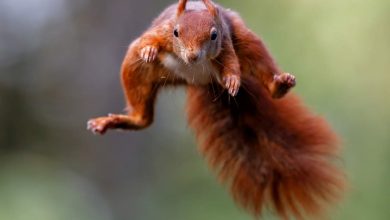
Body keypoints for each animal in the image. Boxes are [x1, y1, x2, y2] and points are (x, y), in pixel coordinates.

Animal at [87, 0, 344, 219]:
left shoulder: (227, 41)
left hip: (247, 42)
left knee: (259, 63)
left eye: (213, 35)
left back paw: (278, 85)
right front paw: (149, 49)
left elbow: (231, 64)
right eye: (176, 32)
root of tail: (200, 79)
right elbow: (148, 40)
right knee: (142, 115)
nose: (193, 55)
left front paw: (232, 80)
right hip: (138, 70)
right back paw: (116, 120)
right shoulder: (161, 30)